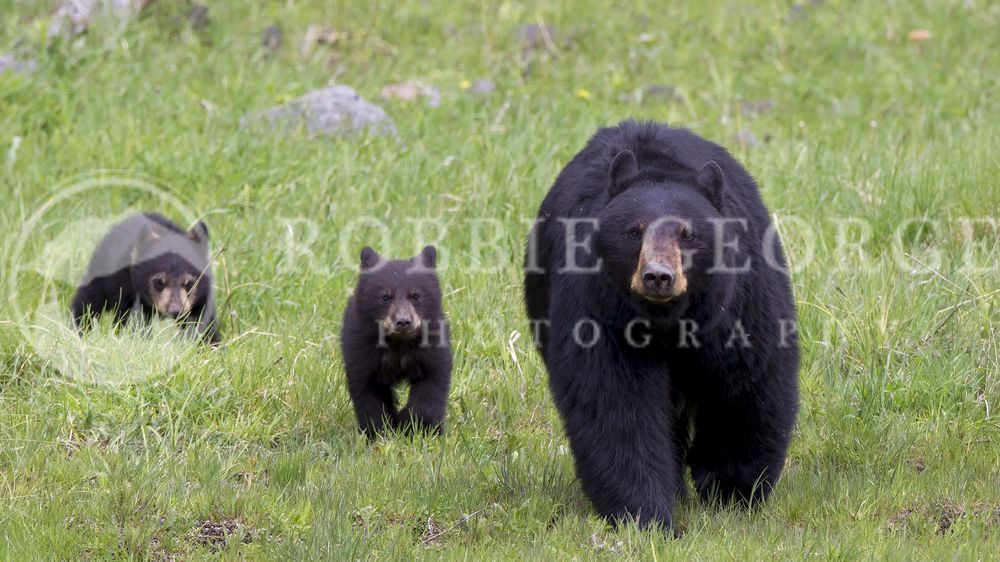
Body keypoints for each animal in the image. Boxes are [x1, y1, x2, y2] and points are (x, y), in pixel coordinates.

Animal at [71, 212, 220, 344]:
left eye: (188, 283)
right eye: (159, 282)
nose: (175, 311)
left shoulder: (201, 300)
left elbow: (204, 324)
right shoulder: (128, 292)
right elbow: (133, 323)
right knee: (86, 303)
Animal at [341, 245, 452, 437]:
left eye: (416, 295)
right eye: (385, 296)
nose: (403, 321)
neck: (399, 342)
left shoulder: (432, 344)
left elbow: (431, 385)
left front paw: (414, 425)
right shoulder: (362, 348)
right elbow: (368, 393)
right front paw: (379, 432)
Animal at [524, 121, 799, 531]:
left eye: (687, 233)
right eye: (634, 231)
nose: (657, 276)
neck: (669, 320)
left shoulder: (740, 303)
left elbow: (745, 387)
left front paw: (732, 494)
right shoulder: (600, 307)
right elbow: (616, 403)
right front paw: (647, 515)